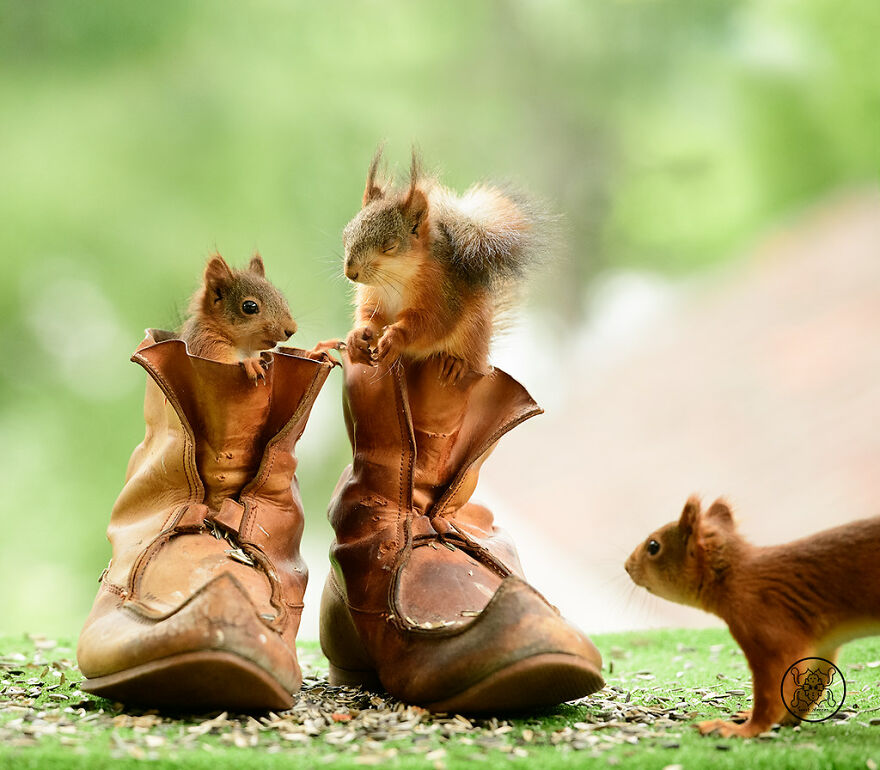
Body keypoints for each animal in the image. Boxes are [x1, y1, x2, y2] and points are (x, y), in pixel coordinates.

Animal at [179, 253, 297, 384]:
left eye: (282, 298)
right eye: (249, 307)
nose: (292, 330)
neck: (246, 349)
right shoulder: (206, 345)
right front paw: (250, 363)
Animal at [340, 148, 547, 383]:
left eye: (390, 246)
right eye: (345, 236)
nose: (351, 273)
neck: (396, 278)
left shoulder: (442, 293)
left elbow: (431, 323)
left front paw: (395, 337)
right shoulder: (373, 297)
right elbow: (370, 316)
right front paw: (357, 338)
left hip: (473, 333)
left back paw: (455, 363)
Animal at [625, 496, 880, 738]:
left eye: (653, 546)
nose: (627, 566)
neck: (736, 576)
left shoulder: (770, 631)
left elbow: (772, 691)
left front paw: (745, 729)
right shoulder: (819, 646)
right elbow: (809, 683)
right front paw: (782, 719)